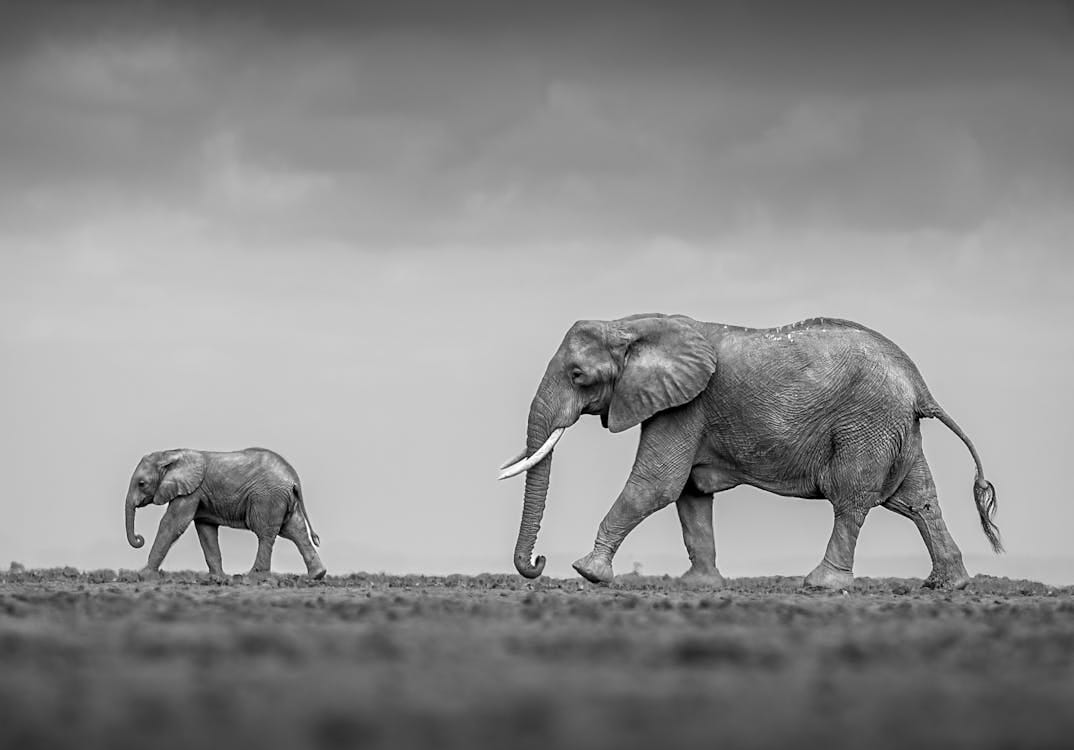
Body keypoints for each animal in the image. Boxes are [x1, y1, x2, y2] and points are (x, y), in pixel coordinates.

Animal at [123, 444, 324, 580]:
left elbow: (172, 523)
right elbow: (206, 530)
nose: (139, 538)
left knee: (266, 533)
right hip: (284, 500)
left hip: (268, 497)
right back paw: (317, 575)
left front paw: (143, 575)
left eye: (142, 484)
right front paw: (218, 578)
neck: (170, 454)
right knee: (296, 531)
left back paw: (251, 577)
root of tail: (294, 478)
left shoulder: (191, 490)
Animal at [498, 311, 1000, 588]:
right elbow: (690, 496)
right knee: (918, 500)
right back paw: (948, 585)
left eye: (578, 375)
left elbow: (656, 485)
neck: (632, 324)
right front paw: (700, 585)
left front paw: (588, 572)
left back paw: (822, 585)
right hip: (896, 427)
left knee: (851, 499)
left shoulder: (685, 406)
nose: (539, 563)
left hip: (868, 422)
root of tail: (919, 385)